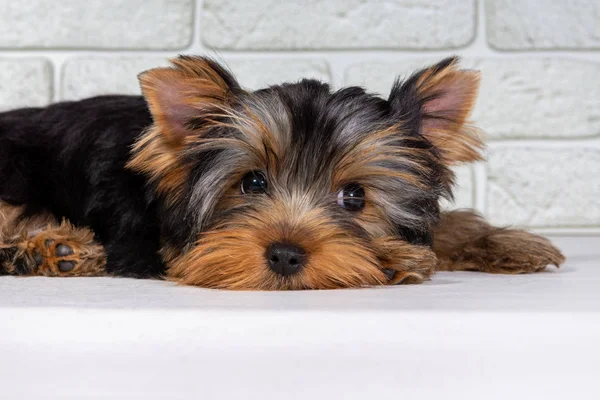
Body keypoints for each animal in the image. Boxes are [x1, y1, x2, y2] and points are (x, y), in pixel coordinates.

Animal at [0, 55, 564, 288]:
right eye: (252, 182)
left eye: (355, 197)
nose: (286, 255)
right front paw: (394, 261)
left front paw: (508, 243)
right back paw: (49, 249)